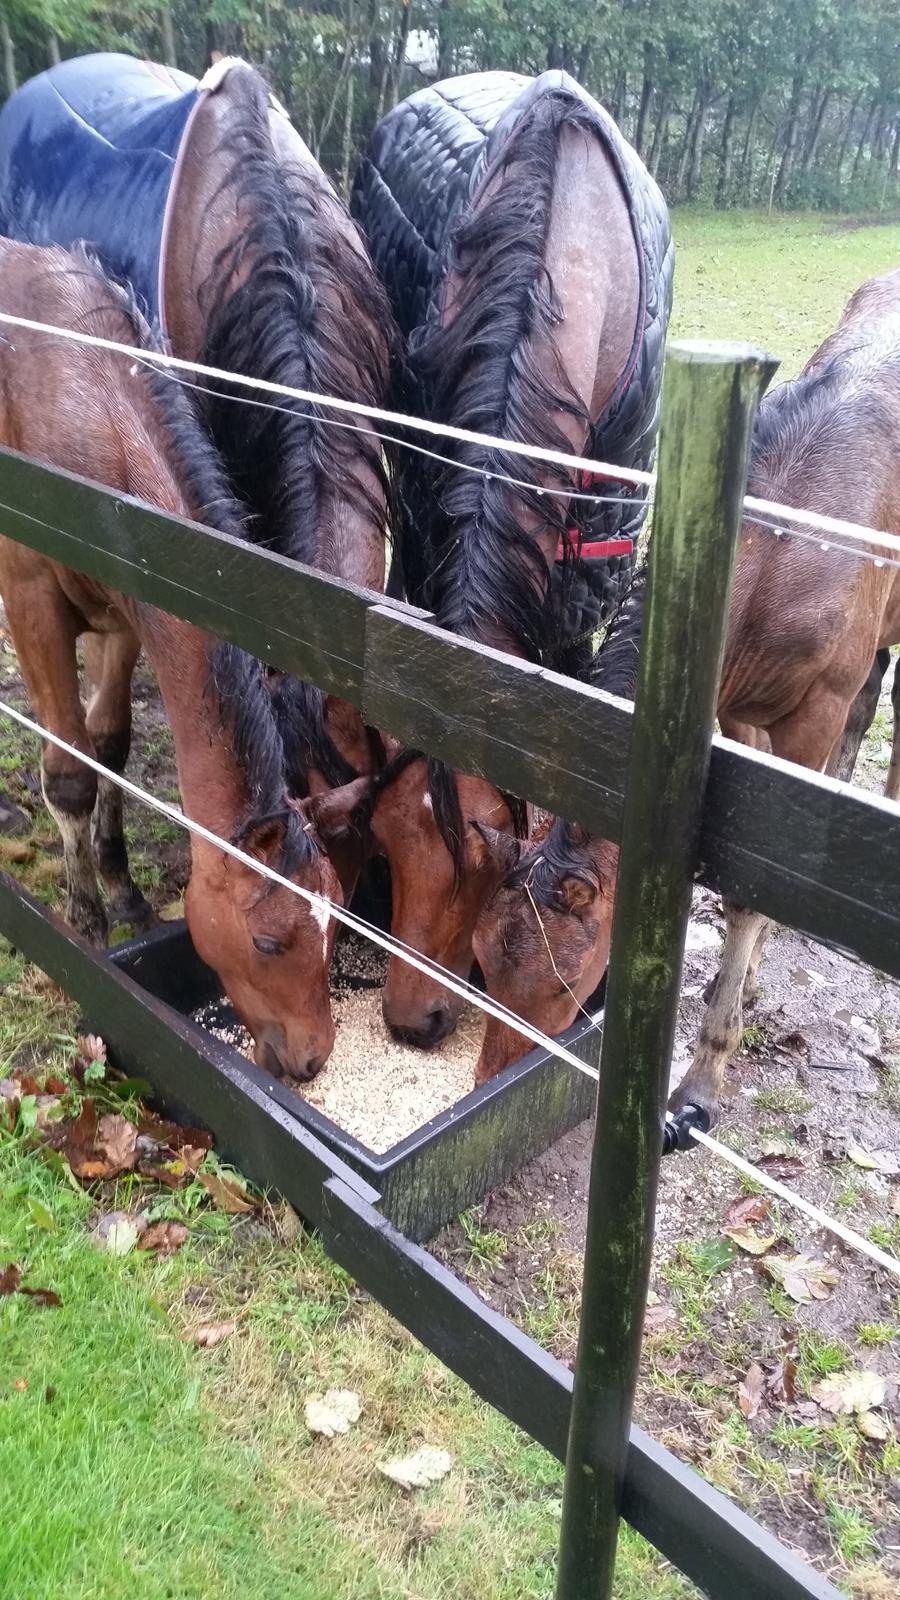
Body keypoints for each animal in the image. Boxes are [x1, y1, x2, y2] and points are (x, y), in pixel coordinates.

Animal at [0, 236, 360, 1081]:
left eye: (337, 925)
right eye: (268, 941)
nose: (311, 1061)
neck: (85, 399)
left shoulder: (129, 615)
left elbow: (109, 747)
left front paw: (126, 891)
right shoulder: (32, 602)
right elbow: (69, 774)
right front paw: (86, 924)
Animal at [464, 268, 896, 1120]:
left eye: (564, 983)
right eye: (483, 962)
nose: (491, 1080)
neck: (777, 550)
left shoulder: (813, 709)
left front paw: (700, 1080)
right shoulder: (734, 708)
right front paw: (747, 981)